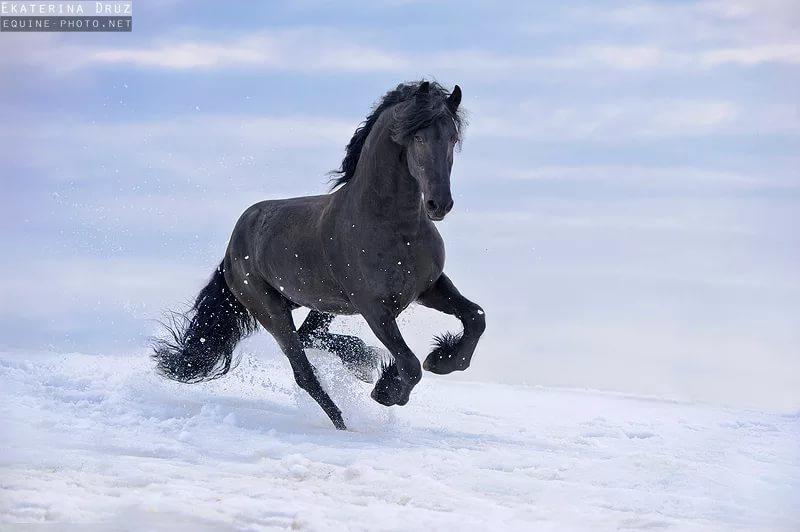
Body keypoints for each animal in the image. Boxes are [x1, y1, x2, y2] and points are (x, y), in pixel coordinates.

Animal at [152, 81, 484, 430]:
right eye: (418, 137)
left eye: (452, 138)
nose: (439, 204)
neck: (394, 227)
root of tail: (232, 247)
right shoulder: (375, 309)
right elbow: (409, 364)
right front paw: (387, 391)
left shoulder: (428, 288)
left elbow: (476, 317)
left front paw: (442, 360)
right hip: (271, 311)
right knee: (303, 370)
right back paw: (343, 422)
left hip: (321, 304)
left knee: (309, 337)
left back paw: (362, 360)